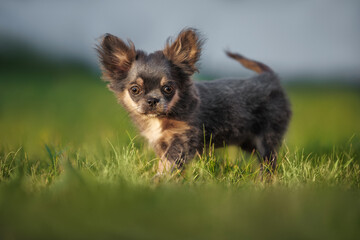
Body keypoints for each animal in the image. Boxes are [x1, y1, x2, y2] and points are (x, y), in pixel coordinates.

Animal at [97, 28, 292, 174]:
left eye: (168, 88)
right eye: (135, 90)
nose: (152, 100)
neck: (161, 119)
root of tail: (269, 77)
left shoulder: (182, 141)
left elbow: (168, 164)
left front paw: (158, 181)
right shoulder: (161, 144)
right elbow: (163, 163)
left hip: (266, 139)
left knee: (268, 164)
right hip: (248, 142)